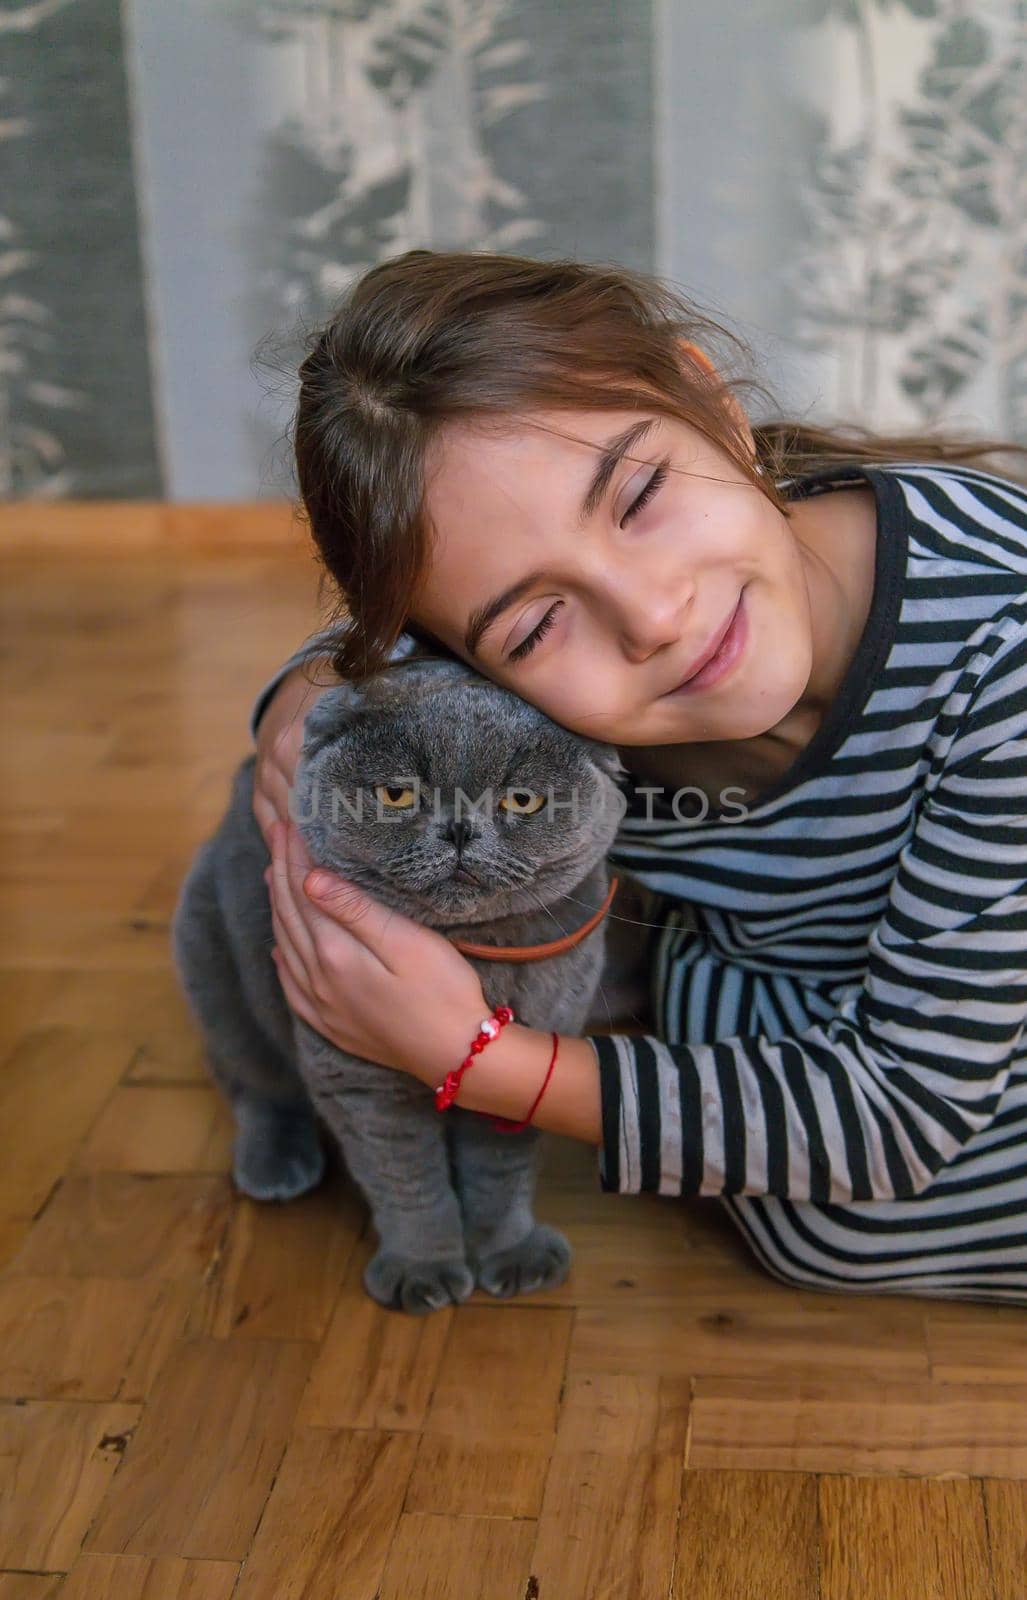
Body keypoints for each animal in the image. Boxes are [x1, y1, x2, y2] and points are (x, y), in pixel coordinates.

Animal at [169, 649, 623, 1312]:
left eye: (522, 801)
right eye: (397, 794)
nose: (458, 829)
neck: (475, 962)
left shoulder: (539, 1044)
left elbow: (500, 1170)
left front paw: (513, 1251)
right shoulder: (360, 1081)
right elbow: (406, 1181)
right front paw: (422, 1270)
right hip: (214, 957)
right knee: (255, 1081)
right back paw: (276, 1165)